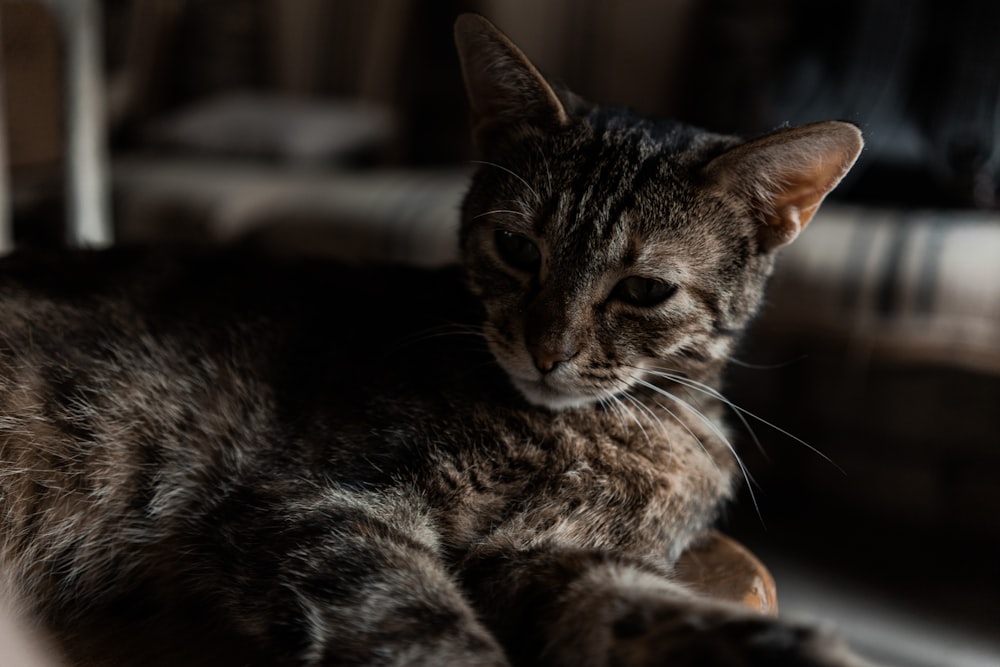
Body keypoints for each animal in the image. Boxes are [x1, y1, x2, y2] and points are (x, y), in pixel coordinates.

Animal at [0, 14, 868, 667]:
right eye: (517, 247)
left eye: (645, 290)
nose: (547, 350)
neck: (601, 428)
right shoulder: (320, 505)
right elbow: (426, 632)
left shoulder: (545, 559)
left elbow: (632, 602)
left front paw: (781, 646)